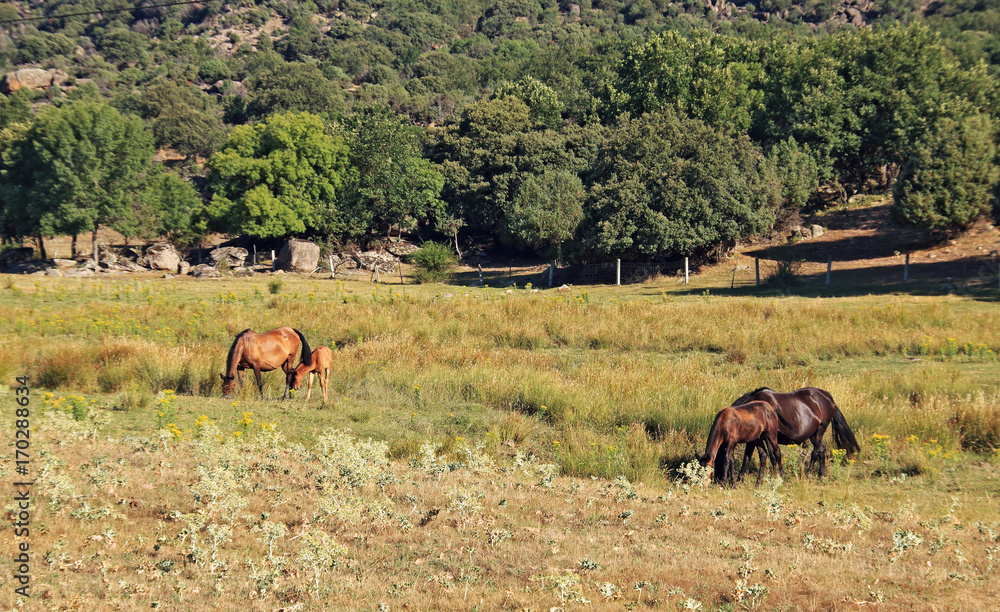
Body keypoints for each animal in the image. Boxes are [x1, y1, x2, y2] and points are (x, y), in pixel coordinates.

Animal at [731, 387, 861, 479]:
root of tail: (828, 397)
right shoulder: (755, 439)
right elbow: (747, 457)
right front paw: (740, 479)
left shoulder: (769, 437)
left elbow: (773, 455)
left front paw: (777, 476)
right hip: (813, 435)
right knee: (822, 449)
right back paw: (821, 475)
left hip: (820, 431)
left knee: (815, 452)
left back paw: (808, 475)